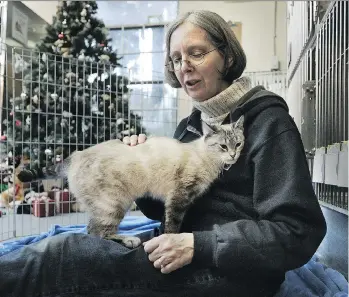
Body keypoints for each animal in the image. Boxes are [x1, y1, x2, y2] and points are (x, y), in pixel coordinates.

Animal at [17, 115, 245, 247]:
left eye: (238, 144)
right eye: (223, 146)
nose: (234, 156)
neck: (207, 158)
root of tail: (76, 154)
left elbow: (166, 223)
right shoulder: (179, 197)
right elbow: (172, 226)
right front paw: (168, 240)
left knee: (91, 230)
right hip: (114, 204)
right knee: (96, 232)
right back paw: (129, 240)